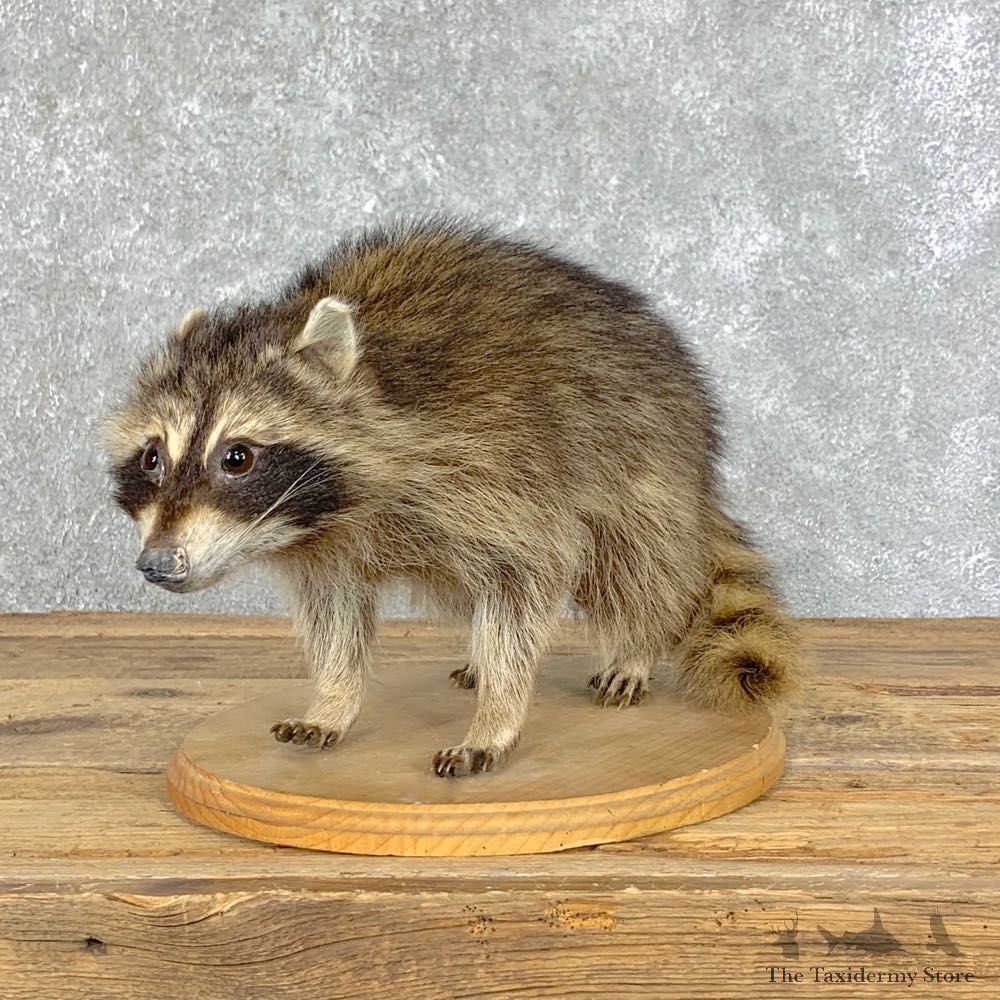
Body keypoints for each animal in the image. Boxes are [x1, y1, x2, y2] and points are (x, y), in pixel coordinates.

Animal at [103, 220, 802, 777]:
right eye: (153, 457)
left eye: (237, 457)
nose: (157, 564)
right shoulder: (326, 545)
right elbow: (336, 619)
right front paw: (333, 697)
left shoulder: (501, 471)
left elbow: (526, 584)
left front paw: (498, 715)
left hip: (643, 456)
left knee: (640, 562)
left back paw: (635, 642)